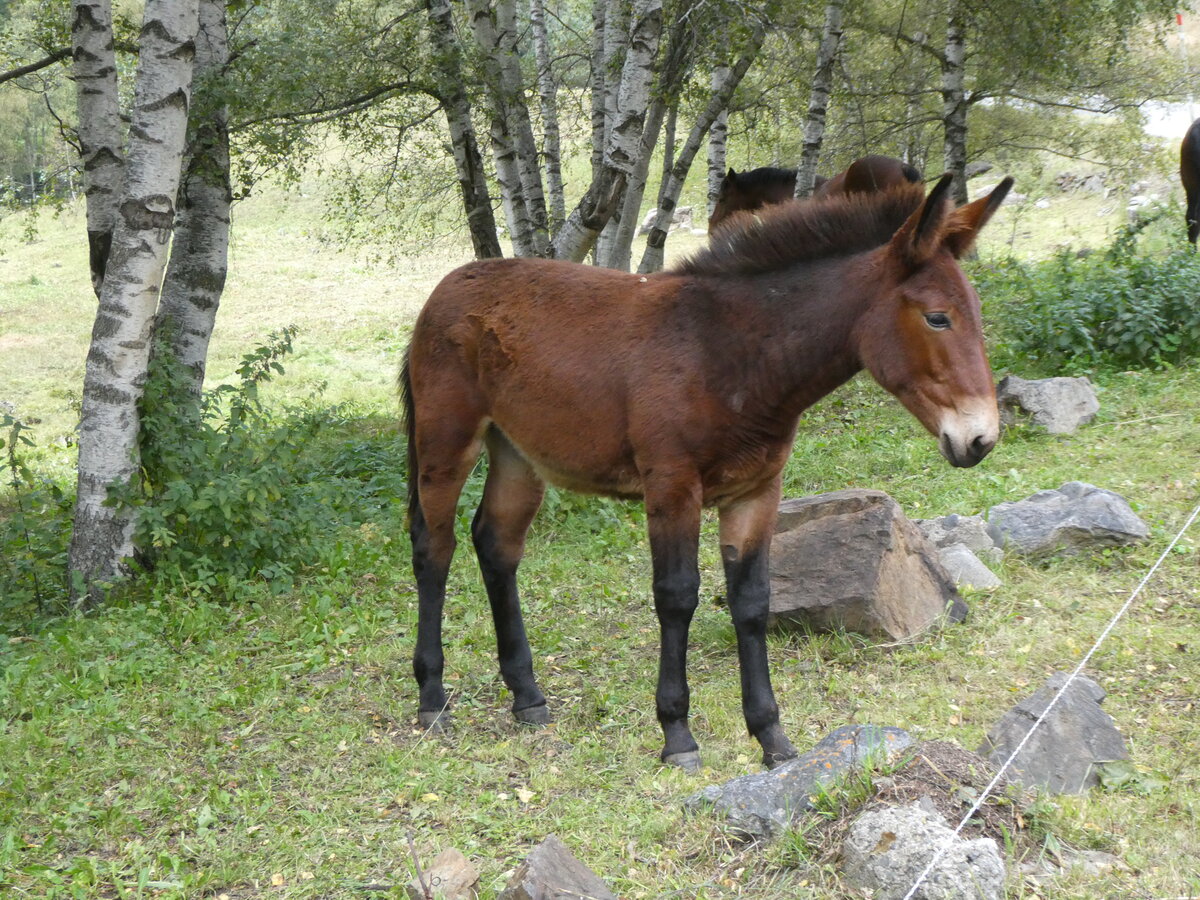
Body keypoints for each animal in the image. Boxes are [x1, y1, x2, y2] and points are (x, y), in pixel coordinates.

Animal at [403, 174, 1012, 777]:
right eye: (937, 317)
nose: (980, 439)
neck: (727, 353)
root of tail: (446, 287)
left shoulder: (756, 493)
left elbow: (753, 602)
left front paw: (771, 737)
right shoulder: (673, 488)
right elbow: (677, 596)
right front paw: (677, 734)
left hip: (519, 455)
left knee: (496, 545)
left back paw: (527, 697)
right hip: (446, 444)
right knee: (435, 548)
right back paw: (433, 699)